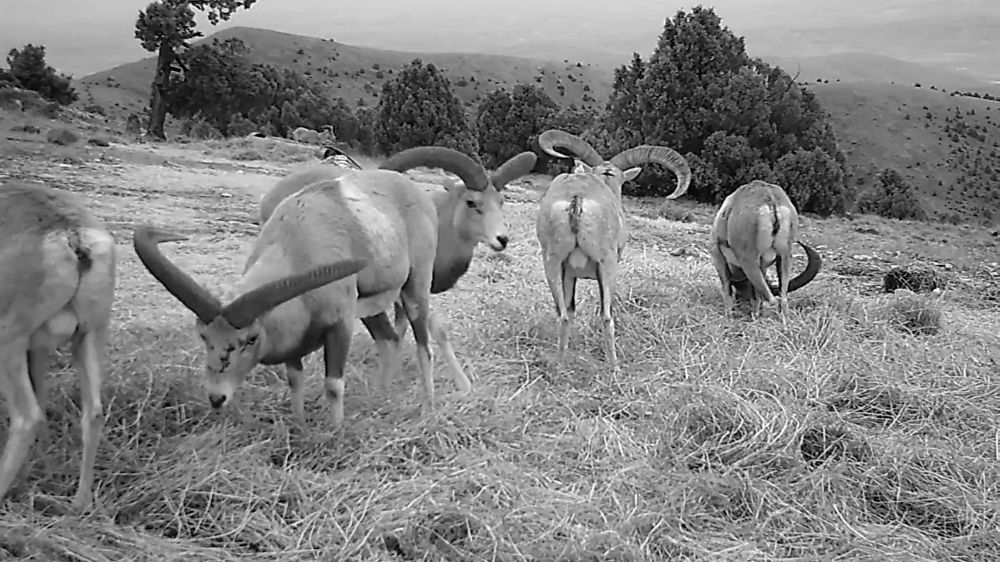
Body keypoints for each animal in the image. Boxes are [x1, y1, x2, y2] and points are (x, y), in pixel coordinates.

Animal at [0, 182, 117, 506]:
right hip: (89, 337)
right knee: (93, 413)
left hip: (9, 343)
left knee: (26, 417)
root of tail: (72, 236)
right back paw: (79, 502)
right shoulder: (37, 351)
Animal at [536, 129, 692, 370]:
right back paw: (614, 366)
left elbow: (570, 309)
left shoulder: (569, 273)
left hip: (552, 261)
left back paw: (559, 365)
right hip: (606, 264)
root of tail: (577, 199)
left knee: (563, 314)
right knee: (606, 316)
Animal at [712, 178, 820, 312]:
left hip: (749, 261)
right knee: (782, 300)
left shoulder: (718, 256)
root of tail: (771, 203)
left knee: (770, 300)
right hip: (784, 256)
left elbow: (727, 290)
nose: (741, 302)